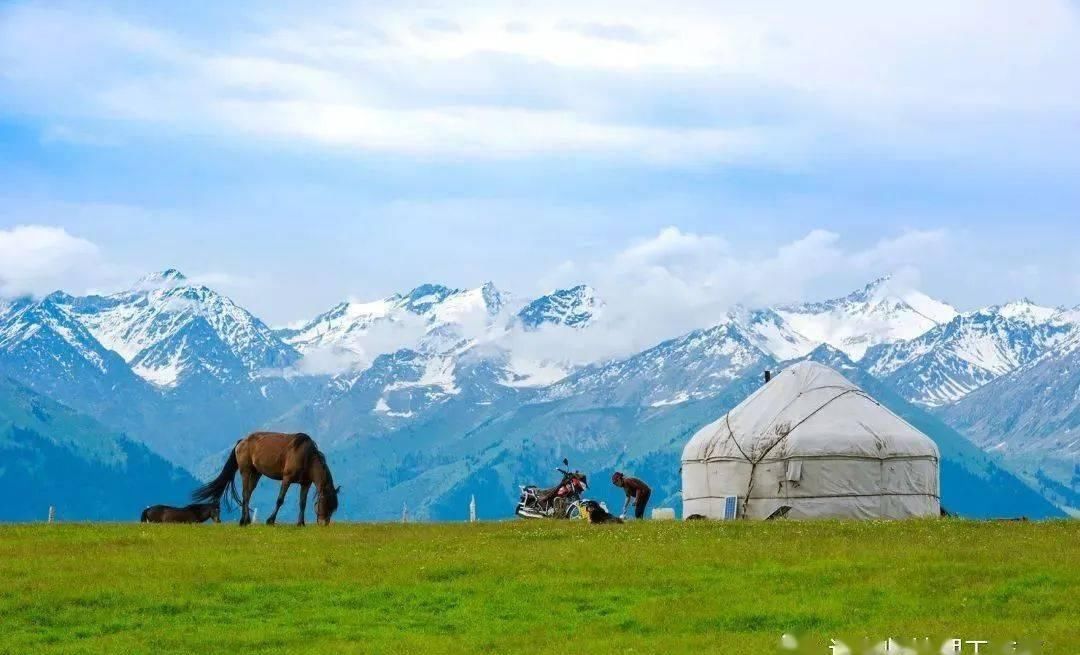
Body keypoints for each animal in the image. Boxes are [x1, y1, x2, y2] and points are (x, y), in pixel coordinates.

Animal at [192, 436, 339, 529]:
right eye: (326, 503)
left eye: (333, 508)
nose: (324, 523)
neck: (307, 457)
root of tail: (242, 441)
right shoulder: (286, 479)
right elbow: (280, 500)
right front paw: (270, 521)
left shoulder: (305, 484)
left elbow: (302, 503)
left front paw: (300, 523)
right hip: (246, 471)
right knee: (245, 494)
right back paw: (243, 521)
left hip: (256, 474)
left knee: (248, 494)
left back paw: (246, 520)